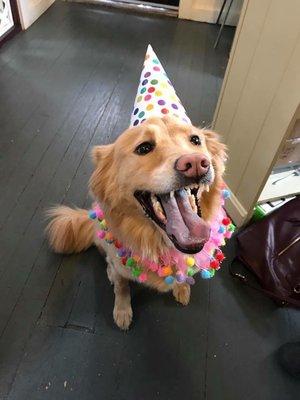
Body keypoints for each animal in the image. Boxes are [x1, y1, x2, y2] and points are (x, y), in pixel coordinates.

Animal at [47, 115, 225, 328]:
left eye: (196, 140)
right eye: (144, 148)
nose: (196, 162)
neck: (160, 245)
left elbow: (184, 275)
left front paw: (182, 288)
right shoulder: (120, 267)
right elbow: (122, 287)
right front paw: (122, 311)